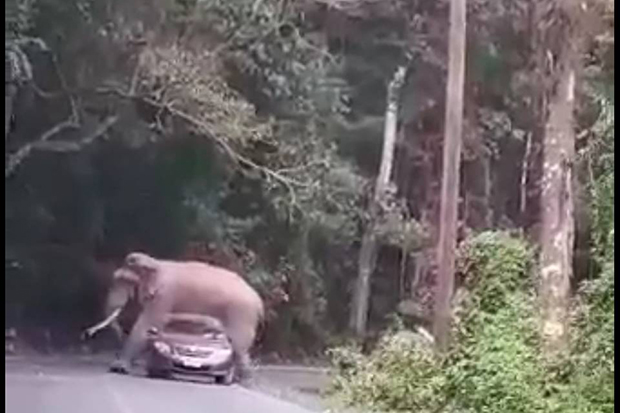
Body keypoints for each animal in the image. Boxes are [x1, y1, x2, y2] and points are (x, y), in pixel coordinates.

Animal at [84, 249, 264, 382]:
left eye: (126, 281)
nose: (86, 334)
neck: (155, 262)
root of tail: (258, 301)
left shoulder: (164, 297)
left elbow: (145, 325)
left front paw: (118, 368)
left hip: (242, 313)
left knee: (239, 346)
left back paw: (244, 382)